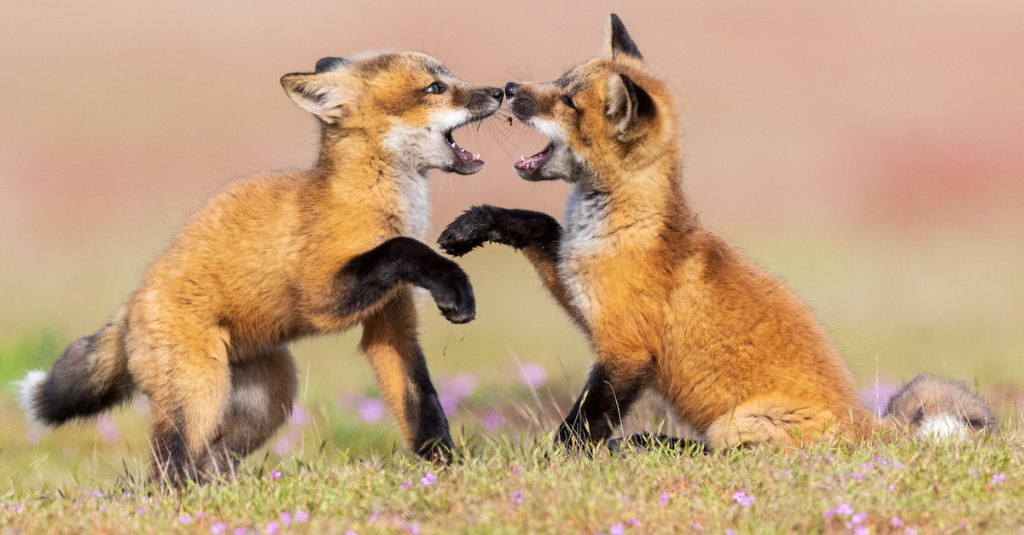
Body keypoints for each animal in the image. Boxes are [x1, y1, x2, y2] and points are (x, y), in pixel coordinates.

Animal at [16, 50, 504, 484]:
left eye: (450, 77)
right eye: (435, 88)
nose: (501, 91)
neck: (371, 198)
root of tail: (133, 302)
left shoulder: (391, 325)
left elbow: (424, 409)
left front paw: (447, 471)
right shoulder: (322, 298)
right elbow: (403, 248)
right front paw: (455, 286)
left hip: (269, 398)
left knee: (208, 461)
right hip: (200, 393)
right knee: (166, 471)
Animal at [438, 14, 999, 451]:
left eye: (569, 103)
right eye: (559, 81)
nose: (511, 90)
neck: (619, 225)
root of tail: (866, 425)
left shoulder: (626, 347)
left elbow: (583, 424)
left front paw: (555, 462)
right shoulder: (581, 288)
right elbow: (537, 223)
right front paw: (473, 226)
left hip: (741, 423)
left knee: (715, 453)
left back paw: (648, 444)